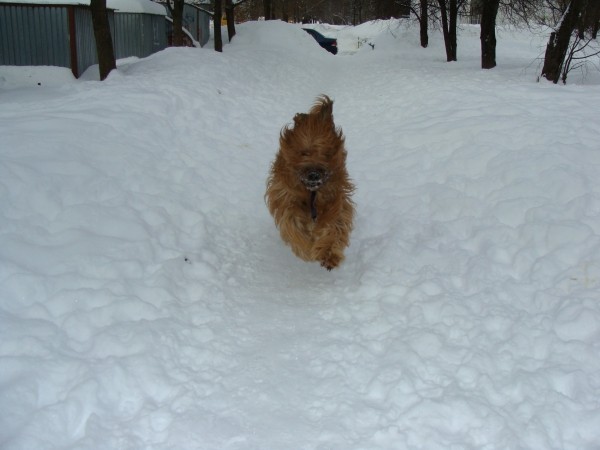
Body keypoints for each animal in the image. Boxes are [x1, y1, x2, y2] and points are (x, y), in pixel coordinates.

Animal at [264, 95, 354, 270]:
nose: (313, 174)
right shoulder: (286, 198)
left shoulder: (335, 201)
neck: (311, 193)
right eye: (303, 152)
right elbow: (293, 225)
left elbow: (335, 227)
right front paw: (305, 249)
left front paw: (329, 253)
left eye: (326, 153)